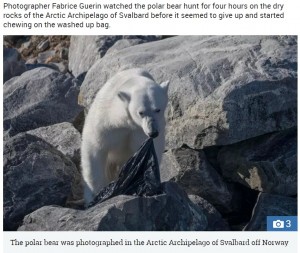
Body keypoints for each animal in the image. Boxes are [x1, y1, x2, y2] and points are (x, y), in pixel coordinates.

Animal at [81, 67, 169, 206]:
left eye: (158, 109)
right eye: (141, 112)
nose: (153, 132)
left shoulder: (140, 132)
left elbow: (150, 151)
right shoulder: (105, 123)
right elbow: (94, 150)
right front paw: (94, 195)